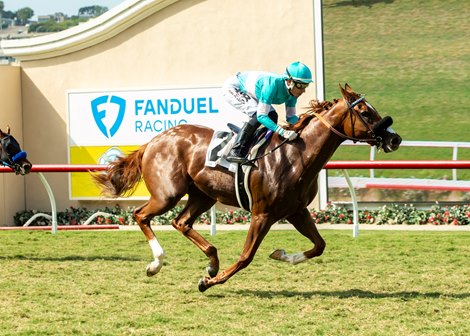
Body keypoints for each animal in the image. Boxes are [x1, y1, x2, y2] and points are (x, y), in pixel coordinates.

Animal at [94, 83, 400, 292]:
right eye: (364, 111)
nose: (394, 138)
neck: (296, 156)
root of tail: (154, 141)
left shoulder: (297, 211)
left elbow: (319, 246)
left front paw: (282, 255)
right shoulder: (262, 214)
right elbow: (245, 257)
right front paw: (208, 283)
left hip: (203, 195)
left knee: (181, 222)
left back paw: (211, 261)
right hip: (167, 194)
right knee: (141, 215)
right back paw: (157, 263)